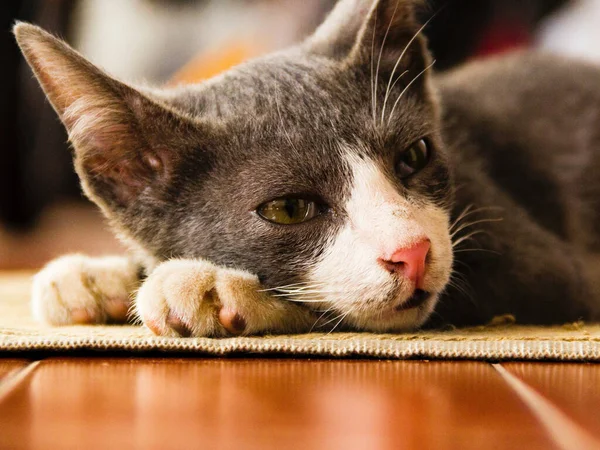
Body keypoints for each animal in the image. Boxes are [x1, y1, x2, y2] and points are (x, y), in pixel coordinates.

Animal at [12, 0, 600, 338]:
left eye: (413, 156)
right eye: (289, 209)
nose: (413, 252)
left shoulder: (550, 269)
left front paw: (212, 287)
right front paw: (94, 276)